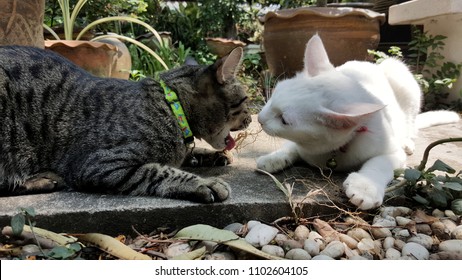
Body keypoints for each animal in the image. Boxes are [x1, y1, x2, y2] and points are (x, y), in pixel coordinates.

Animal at [0, 46, 251, 203]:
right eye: (246, 100)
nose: (250, 119)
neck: (171, 106)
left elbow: (185, 156)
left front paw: (210, 155)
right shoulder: (97, 164)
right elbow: (158, 171)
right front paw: (204, 183)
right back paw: (43, 180)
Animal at [256, 34, 458, 210]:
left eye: (284, 120)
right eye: (275, 94)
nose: (259, 119)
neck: (332, 152)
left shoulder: (392, 152)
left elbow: (379, 163)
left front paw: (365, 187)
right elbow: (291, 147)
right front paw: (273, 158)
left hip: (400, 76)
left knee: (411, 123)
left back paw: (407, 141)